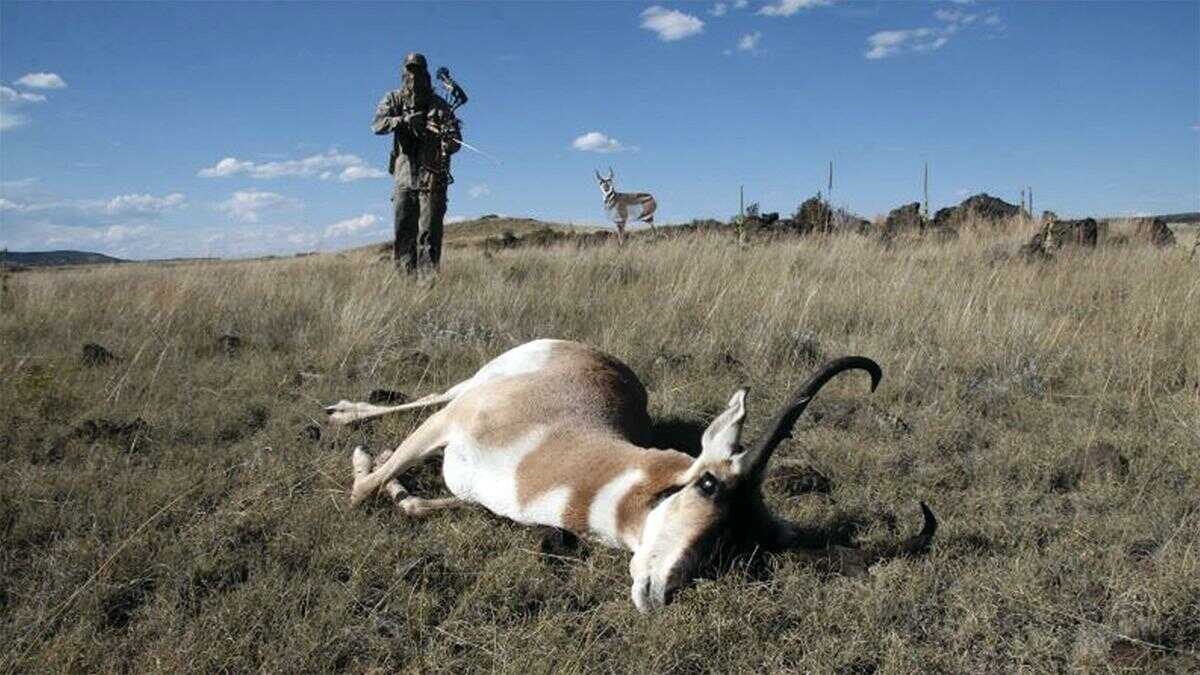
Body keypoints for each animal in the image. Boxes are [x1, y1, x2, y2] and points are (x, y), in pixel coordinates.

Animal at [328, 338, 936, 607]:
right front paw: (366, 460)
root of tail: (593, 353)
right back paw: (343, 415)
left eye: (739, 547)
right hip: (466, 390)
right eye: (708, 483)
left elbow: (412, 500)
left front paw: (396, 483)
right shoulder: (449, 425)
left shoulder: (481, 495)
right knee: (431, 395)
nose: (663, 591)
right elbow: (362, 490)